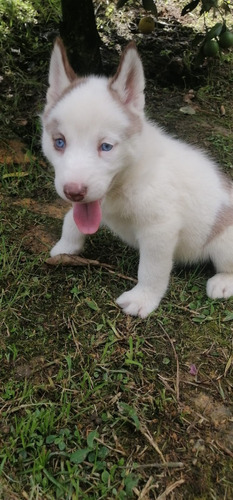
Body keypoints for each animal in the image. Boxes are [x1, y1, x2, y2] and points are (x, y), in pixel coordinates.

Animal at [41, 40, 233, 320]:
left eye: (106, 147)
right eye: (59, 142)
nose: (73, 191)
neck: (126, 180)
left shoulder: (159, 229)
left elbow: (151, 269)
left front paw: (143, 298)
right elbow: (72, 218)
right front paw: (67, 245)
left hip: (224, 241)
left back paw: (224, 281)